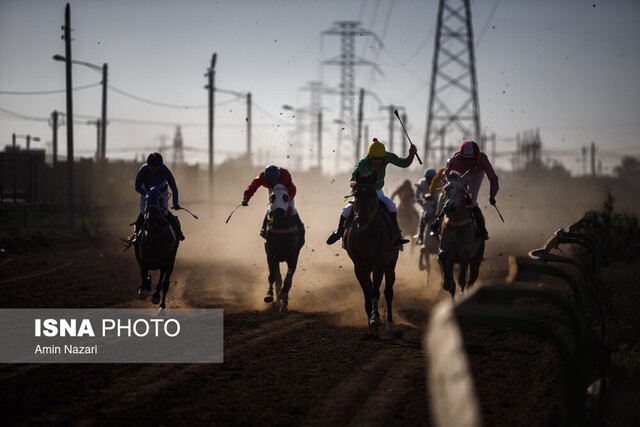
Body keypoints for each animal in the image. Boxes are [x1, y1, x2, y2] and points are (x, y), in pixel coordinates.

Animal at [132, 186, 178, 314]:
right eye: (146, 199)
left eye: (160, 200)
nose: (151, 218)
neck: (154, 235)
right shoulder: (142, 256)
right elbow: (143, 273)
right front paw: (143, 288)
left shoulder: (166, 261)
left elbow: (161, 280)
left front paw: (156, 296)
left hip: (172, 261)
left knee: (166, 284)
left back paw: (162, 306)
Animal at [262, 182, 302, 312]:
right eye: (272, 197)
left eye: (285, 197)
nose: (278, 215)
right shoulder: (271, 255)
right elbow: (273, 277)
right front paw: (269, 295)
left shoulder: (293, 256)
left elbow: (288, 279)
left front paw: (284, 298)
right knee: (278, 278)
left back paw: (283, 303)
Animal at [342, 174, 398, 334]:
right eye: (356, 196)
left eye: (373, 197)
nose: (362, 220)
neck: (367, 234)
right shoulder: (359, 265)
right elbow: (367, 293)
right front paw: (371, 321)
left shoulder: (379, 262)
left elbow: (375, 292)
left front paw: (376, 319)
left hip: (391, 263)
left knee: (388, 292)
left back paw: (389, 323)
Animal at [438, 171, 482, 300]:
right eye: (446, 188)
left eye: (462, 190)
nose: (450, 207)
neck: (456, 224)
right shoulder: (446, 249)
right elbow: (442, 255)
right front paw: (447, 283)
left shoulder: (465, 252)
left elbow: (462, 278)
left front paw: (461, 294)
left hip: (477, 257)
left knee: (471, 280)